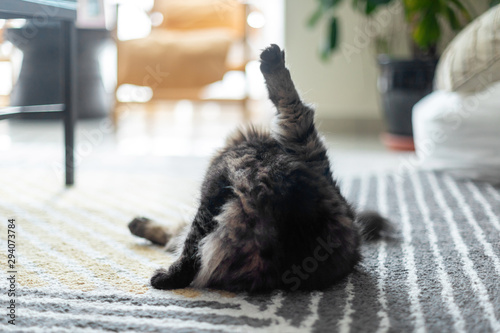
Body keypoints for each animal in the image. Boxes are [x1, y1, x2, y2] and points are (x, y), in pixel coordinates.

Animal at [127, 43, 388, 290]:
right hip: (310, 158)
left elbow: (189, 245)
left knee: (294, 109)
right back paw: (138, 225)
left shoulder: (214, 187)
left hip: (293, 155)